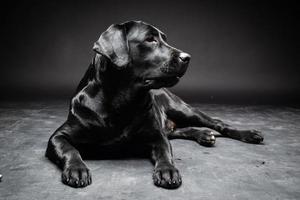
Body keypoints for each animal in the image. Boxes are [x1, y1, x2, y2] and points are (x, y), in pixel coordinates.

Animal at [45, 20, 264, 189]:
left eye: (164, 39)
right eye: (150, 39)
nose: (187, 57)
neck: (121, 100)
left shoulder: (156, 135)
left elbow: (165, 152)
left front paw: (168, 170)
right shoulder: (57, 137)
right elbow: (70, 150)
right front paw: (77, 169)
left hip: (183, 109)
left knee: (217, 122)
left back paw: (247, 134)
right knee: (180, 130)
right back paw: (203, 135)